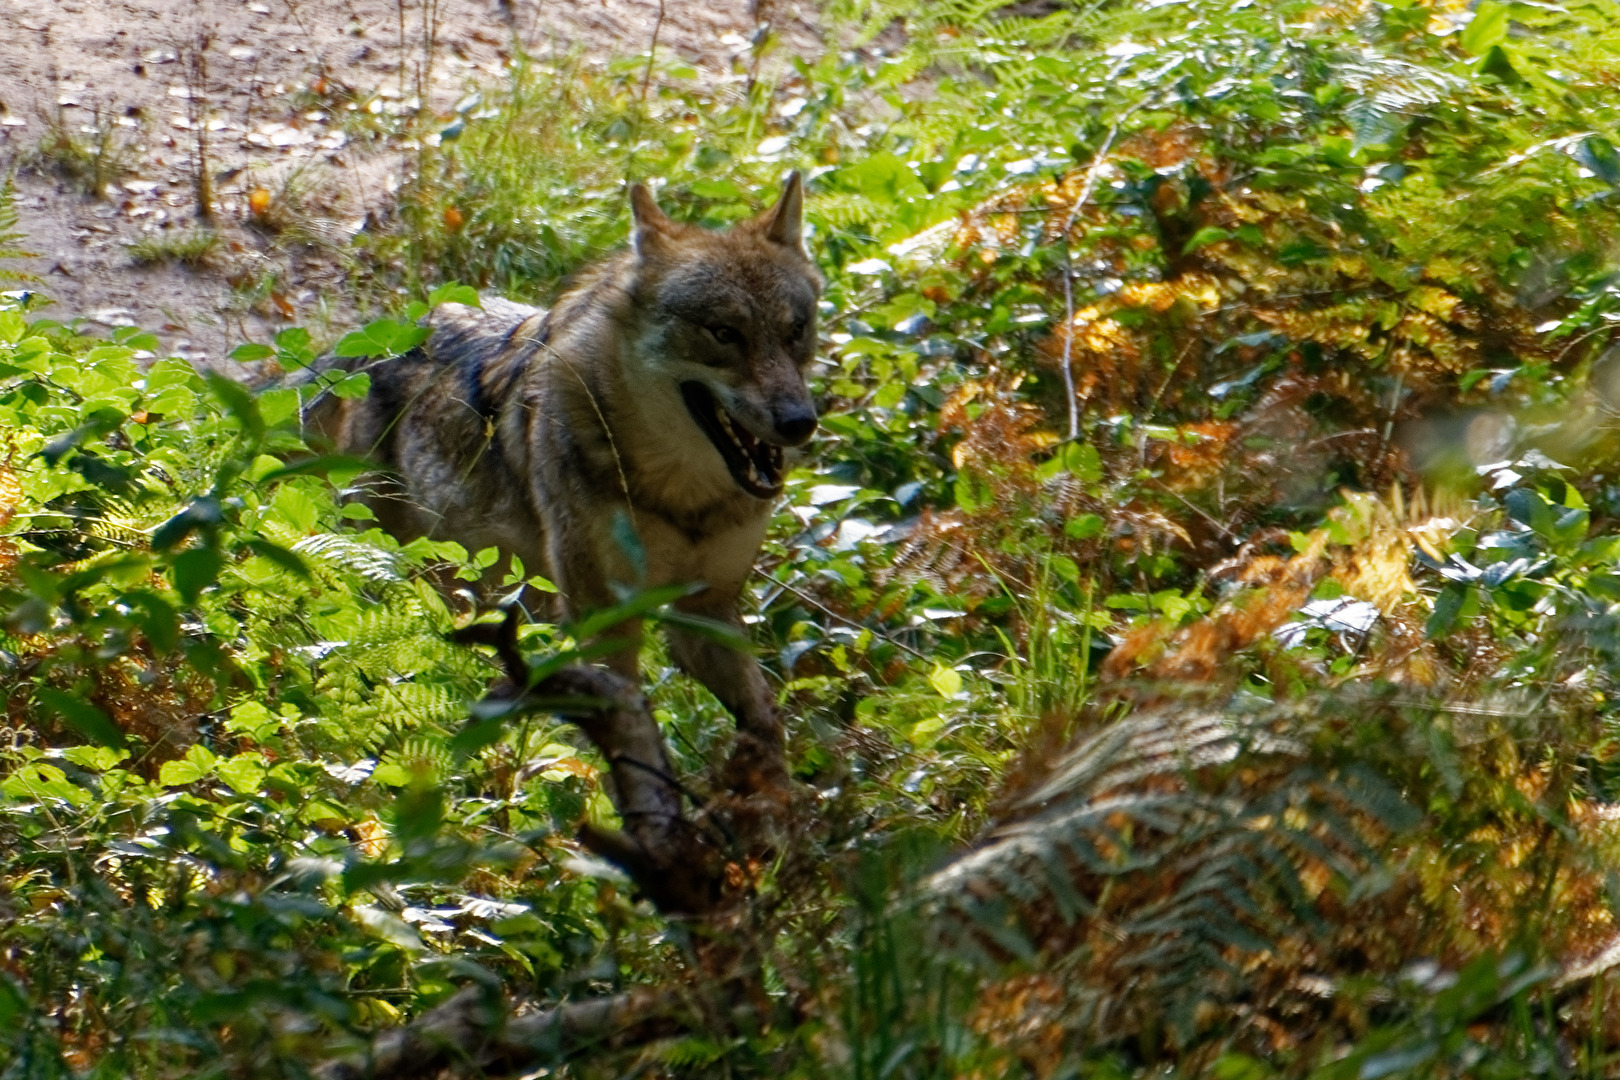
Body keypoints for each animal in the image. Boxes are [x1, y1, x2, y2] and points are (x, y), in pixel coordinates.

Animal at [308, 174, 822, 789]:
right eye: (725, 333)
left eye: (795, 332)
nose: (799, 422)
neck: (683, 497)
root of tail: (376, 338)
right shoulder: (606, 620)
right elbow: (637, 752)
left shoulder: (707, 611)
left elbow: (767, 722)